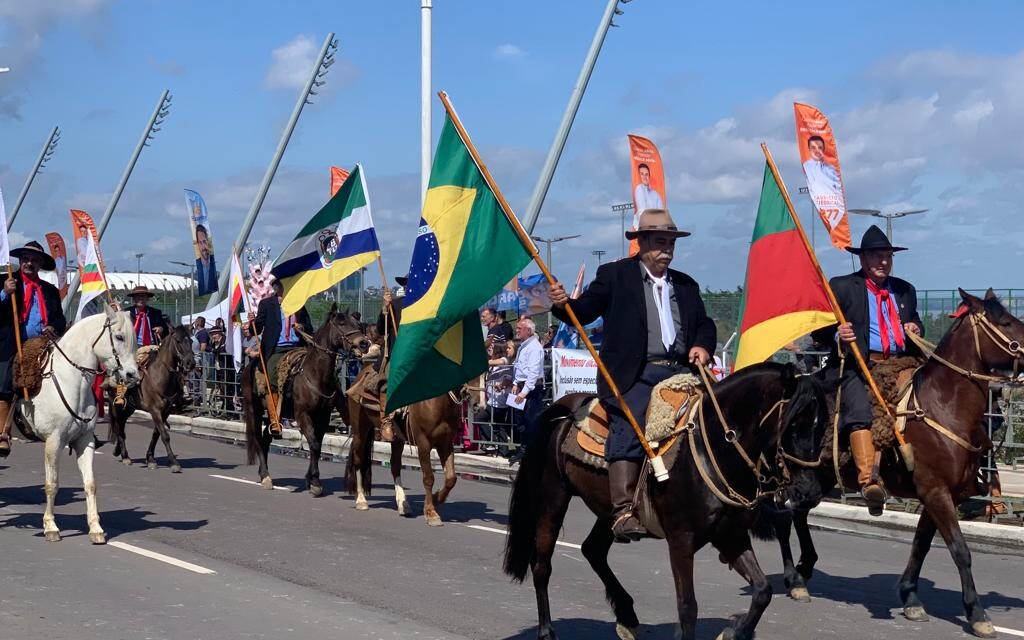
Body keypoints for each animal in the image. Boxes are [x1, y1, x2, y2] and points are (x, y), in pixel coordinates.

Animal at [15, 305, 140, 544]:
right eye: (119, 336)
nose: (132, 375)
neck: (70, 381)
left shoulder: (85, 441)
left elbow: (90, 484)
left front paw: (96, 529)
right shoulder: (53, 441)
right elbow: (52, 484)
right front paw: (51, 527)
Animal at [239, 309, 368, 493]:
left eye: (358, 324)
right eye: (342, 323)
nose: (364, 343)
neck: (315, 374)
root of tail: (250, 366)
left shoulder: (323, 417)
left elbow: (318, 445)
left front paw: (312, 479)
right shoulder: (302, 415)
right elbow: (313, 444)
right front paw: (315, 482)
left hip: (274, 415)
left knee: (266, 439)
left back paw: (264, 473)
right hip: (253, 410)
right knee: (257, 439)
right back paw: (265, 476)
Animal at [348, 372, 464, 528]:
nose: (476, 401)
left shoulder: (446, 443)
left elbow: (451, 478)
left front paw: (436, 499)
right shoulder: (423, 443)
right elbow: (428, 478)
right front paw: (431, 513)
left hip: (397, 439)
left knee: (395, 466)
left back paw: (403, 505)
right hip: (360, 430)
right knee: (358, 460)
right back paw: (361, 500)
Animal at [503, 362, 831, 638]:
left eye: (823, 425)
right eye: (793, 425)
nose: (810, 492)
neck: (711, 449)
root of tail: (563, 407)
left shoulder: (731, 536)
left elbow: (763, 590)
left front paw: (735, 631)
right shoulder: (681, 541)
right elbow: (687, 608)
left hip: (608, 512)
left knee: (592, 550)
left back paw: (627, 615)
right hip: (552, 500)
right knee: (542, 565)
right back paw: (547, 631)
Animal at [761, 288, 1024, 638]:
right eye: (1006, 322)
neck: (944, 405)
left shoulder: (941, 494)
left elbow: (921, 545)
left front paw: (910, 597)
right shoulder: (936, 491)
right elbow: (959, 550)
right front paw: (977, 613)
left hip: (816, 478)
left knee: (798, 514)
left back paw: (805, 569)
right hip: (787, 474)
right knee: (782, 518)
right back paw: (794, 579)